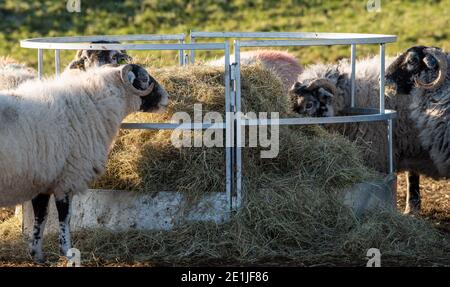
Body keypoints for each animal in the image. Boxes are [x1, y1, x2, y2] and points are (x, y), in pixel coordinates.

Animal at [0, 63, 169, 264]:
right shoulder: (67, 179)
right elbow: (65, 218)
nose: (167, 98)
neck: (90, 105)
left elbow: (40, 218)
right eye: (144, 79)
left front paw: (37, 255)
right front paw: (67, 252)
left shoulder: (43, 180)